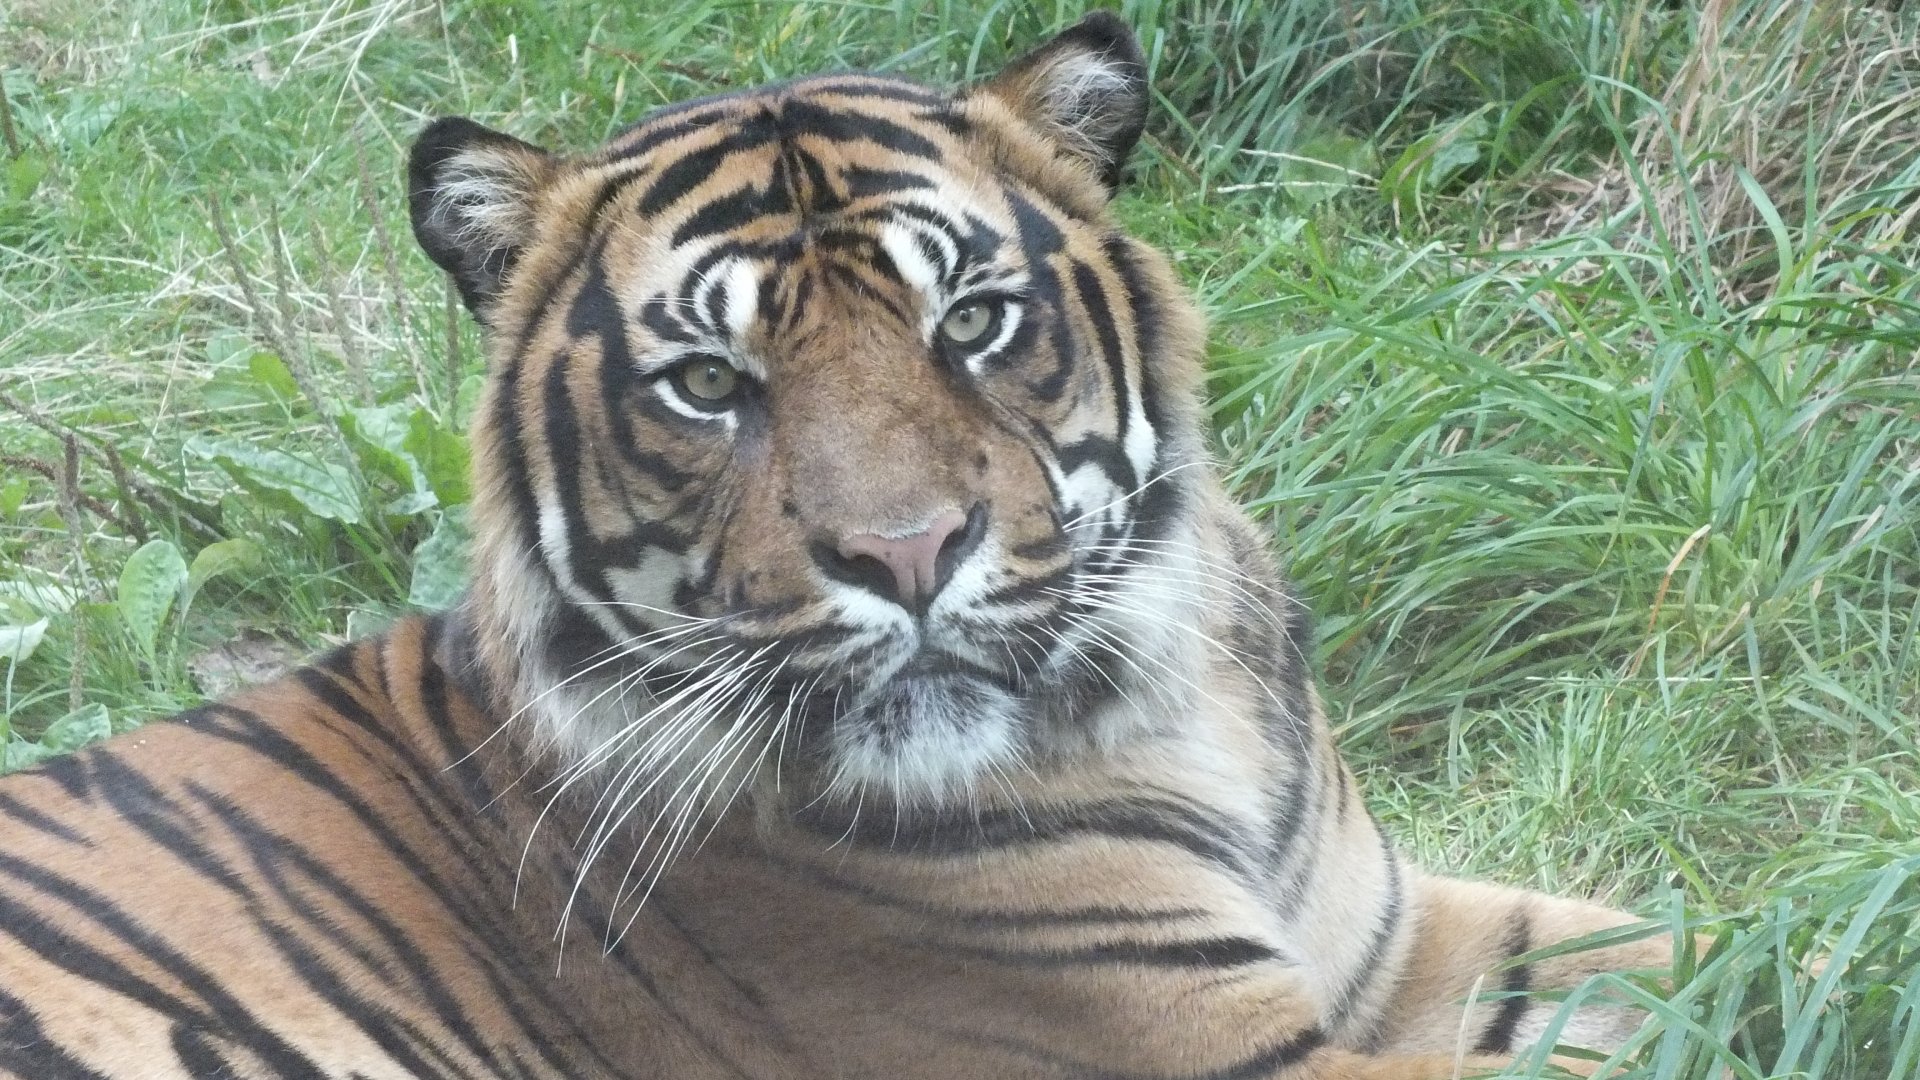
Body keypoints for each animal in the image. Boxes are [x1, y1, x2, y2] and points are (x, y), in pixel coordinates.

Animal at [0, 13, 1676, 1079]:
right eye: (707, 383)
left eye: (973, 322)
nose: (910, 555)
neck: (1176, 705)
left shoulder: (1401, 938)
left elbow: (1691, 951)